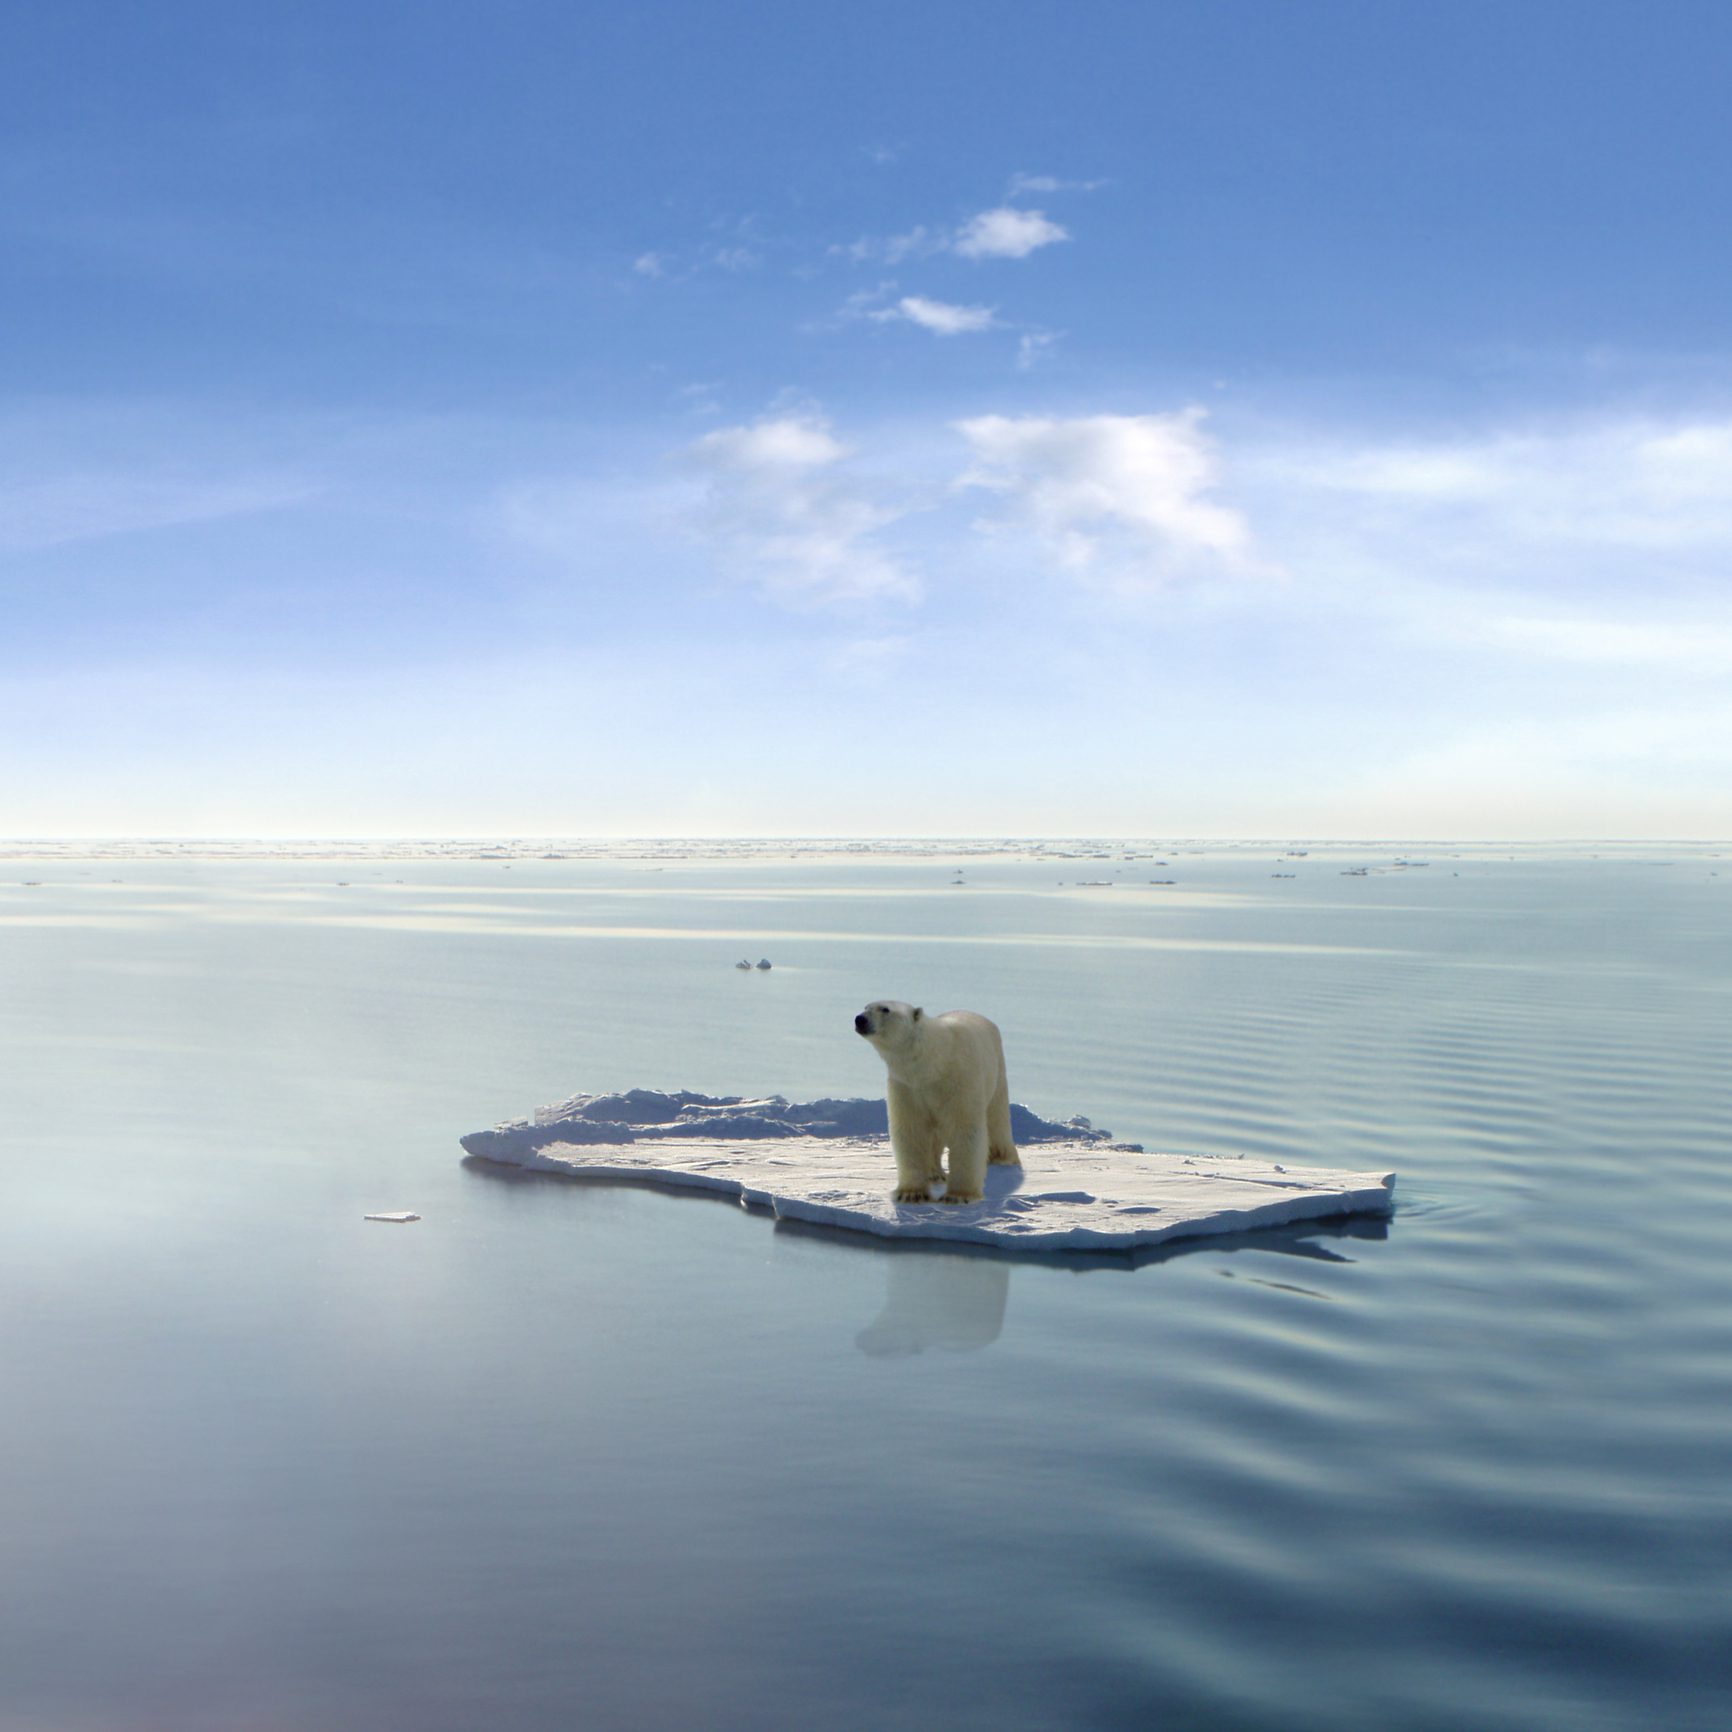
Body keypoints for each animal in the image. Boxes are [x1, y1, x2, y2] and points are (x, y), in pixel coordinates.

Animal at [848, 1004, 1011, 1205]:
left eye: (885, 1009)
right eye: (866, 1007)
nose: (860, 1019)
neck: (933, 1063)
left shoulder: (960, 1081)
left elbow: (964, 1129)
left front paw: (958, 1195)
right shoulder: (907, 1086)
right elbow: (911, 1130)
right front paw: (911, 1193)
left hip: (997, 1072)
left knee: (997, 1118)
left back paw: (1003, 1157)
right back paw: (934, 1173)